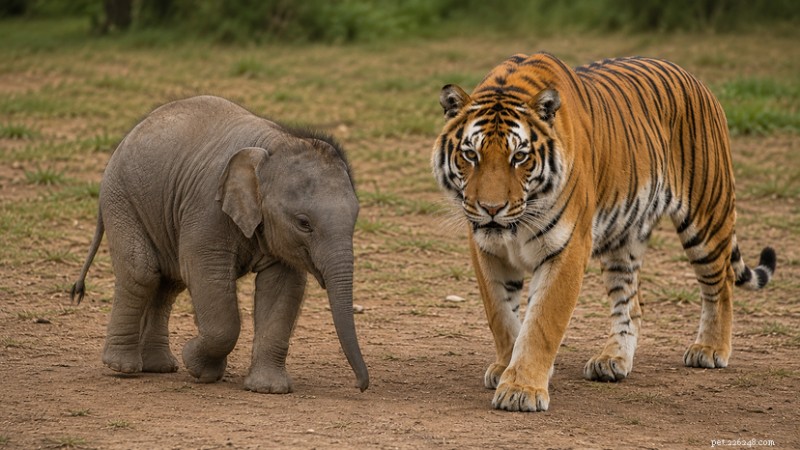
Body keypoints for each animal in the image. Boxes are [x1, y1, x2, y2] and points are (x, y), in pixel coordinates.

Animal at [71, 95, 369, 393]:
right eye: (304, 223)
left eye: (356, 216)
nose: (359, 385)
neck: (274, 144)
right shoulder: (206, 207)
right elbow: (206, 274)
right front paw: (197, 365)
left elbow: (282, 287)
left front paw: (268, 389)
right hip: (121, 198)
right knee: (142, 272)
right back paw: (122, 367)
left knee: (168, 283)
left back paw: (159, 367)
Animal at [431, 52, 776, 412]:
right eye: (471, 154)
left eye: (520, 156)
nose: (491, 208)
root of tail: (695, 79)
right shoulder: (486, 249)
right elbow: (501, 316)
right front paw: (505, 368)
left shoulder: (568, 247)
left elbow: (541, 323)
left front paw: (521, 389)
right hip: (624, 241)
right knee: (631, 305)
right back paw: (613, 360)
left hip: (706, 217)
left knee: (720, 285)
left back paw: (709, 349)